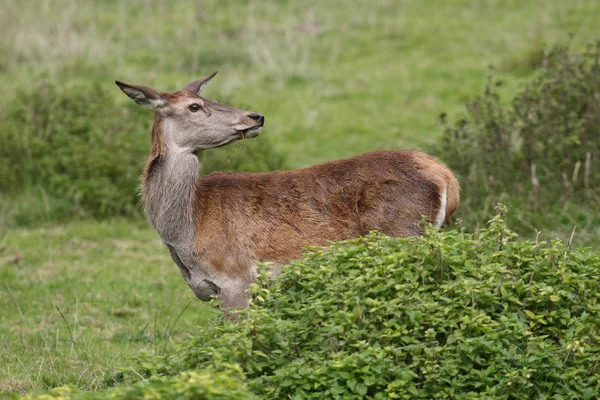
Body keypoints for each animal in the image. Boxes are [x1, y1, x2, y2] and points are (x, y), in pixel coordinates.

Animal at [116, 71, 460, 310]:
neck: (187, 231)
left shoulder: (236, 280)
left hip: (405, 236)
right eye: (195, 106)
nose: (255, 116)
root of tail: (445, 176)